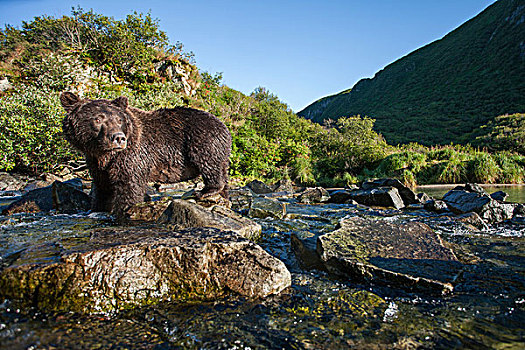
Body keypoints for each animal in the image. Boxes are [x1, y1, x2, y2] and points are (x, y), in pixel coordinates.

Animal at [58, 91, 229, 217]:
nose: (119, 138)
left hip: (203, 140)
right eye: (98, 119)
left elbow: (129, 187)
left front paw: (122, 210)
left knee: (209, 164)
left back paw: (206, 191)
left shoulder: (132, 156)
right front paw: (97, 208)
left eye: (119, 119)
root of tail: (224, 125)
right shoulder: (96, 162)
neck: (104, 154)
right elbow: (102, 188)